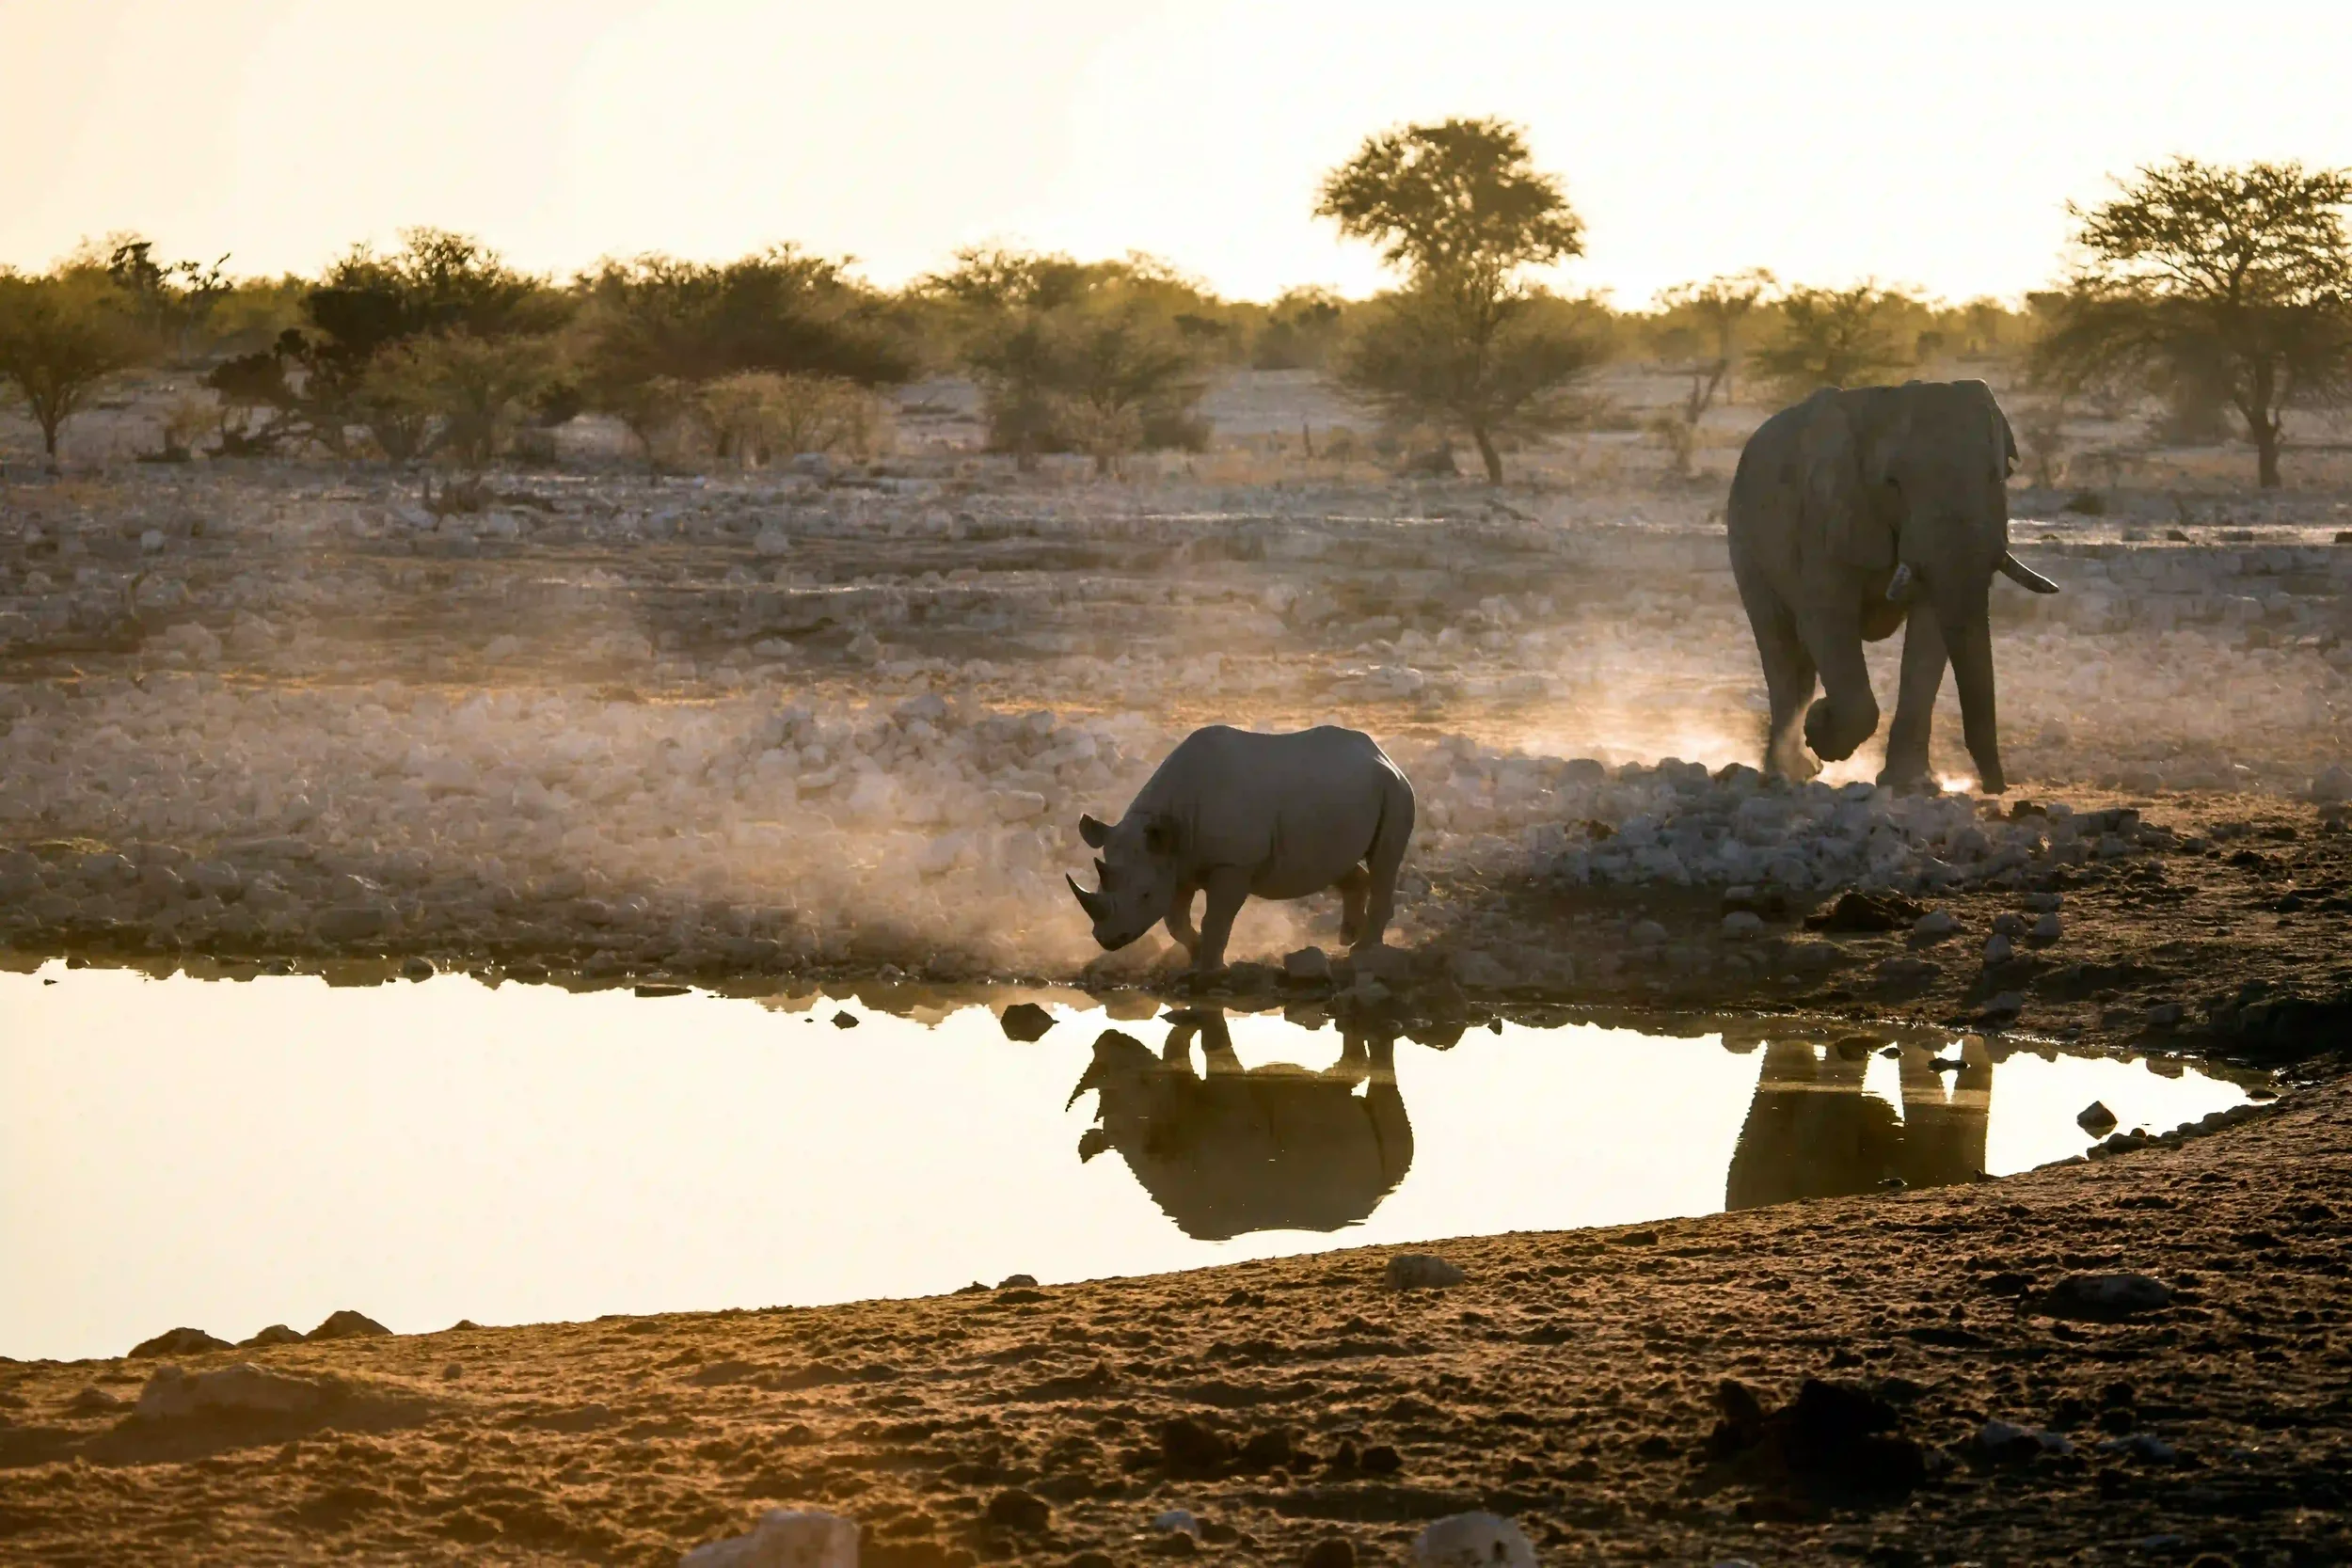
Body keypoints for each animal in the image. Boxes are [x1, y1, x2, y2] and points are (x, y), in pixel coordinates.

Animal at [1065, 1011, 1413, 1241]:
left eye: (1143, 1080)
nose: (1106, 1037)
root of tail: (1373, 1202)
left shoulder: (1228, 1101)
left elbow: (1203, 1051)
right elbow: (1178, 1049)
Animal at [1066, 724, 1414, 972]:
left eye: (1144, 896)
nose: (1107, 940)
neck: (1166, 822)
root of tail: (1382, 754)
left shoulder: (1233, 864)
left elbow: (1216, 919)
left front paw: (1211, 969)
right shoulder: (1177, 861)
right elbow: (1175, 921)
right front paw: (1195, 954)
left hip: (1395, 789)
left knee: (1384, 862)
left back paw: (1362, 951)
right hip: (1345, 796)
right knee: (1338, 862)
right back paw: (1348, 938)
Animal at [1726, 380, 2060, 793]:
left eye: (1996, 476)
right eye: (1893, 484)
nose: (1996, 788)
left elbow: (1929, 635)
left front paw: (1912, 784)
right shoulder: (1823, 520)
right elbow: (1825, 622)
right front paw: (1820, 727)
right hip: (1745, 542)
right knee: (1779, 645)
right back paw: (1791, 770)